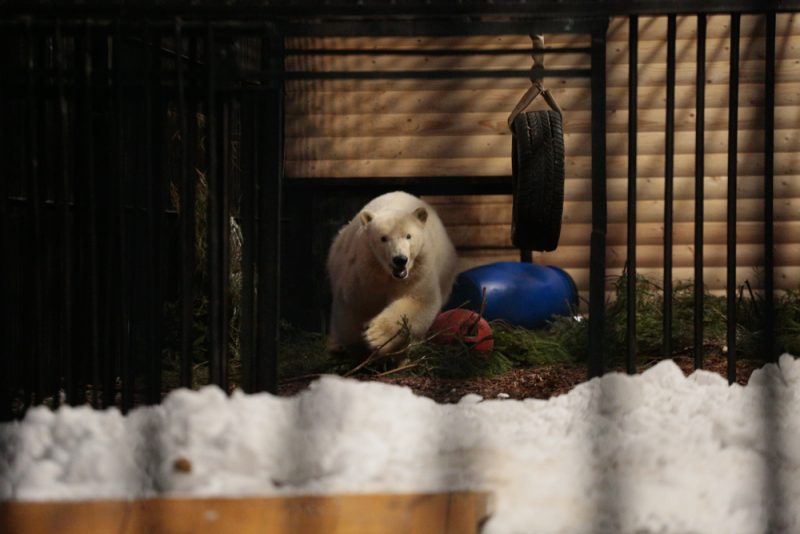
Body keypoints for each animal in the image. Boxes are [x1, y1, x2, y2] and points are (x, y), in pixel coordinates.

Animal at [328, 192, 460, 356]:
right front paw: (355, 347)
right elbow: (354, 305)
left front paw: (376, 336)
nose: (400, 260)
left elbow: (418, 300)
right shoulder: (364, 272)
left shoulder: (418, 270)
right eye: (383, 238)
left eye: (408, 236)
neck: (388, 275)